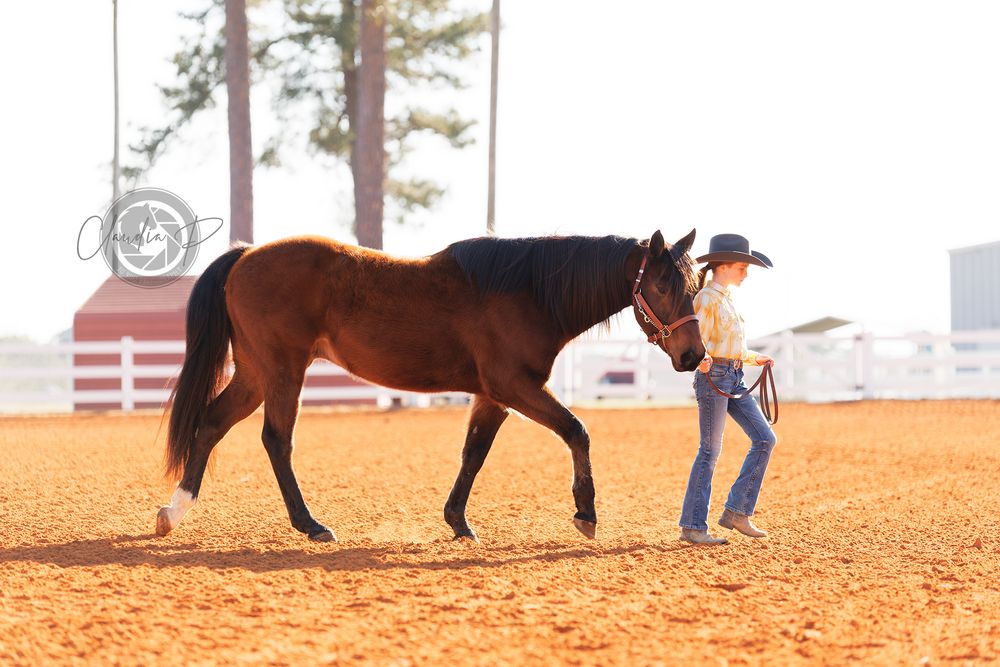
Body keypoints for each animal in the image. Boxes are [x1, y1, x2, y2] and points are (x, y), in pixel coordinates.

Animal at [155, 229, 705, 542]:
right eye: (662, 285)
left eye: (695, 286)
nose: (694, 355)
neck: (528, 291)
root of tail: (246, 254)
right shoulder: (515, 387)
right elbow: (576, 430)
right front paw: (586, 513)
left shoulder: (492, 397)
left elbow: (474, 454)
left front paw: (458, 522)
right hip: (283, 372)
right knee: (276, 440)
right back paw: (310, 525)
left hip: (254, 373)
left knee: (211, 424)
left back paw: (174, 511)